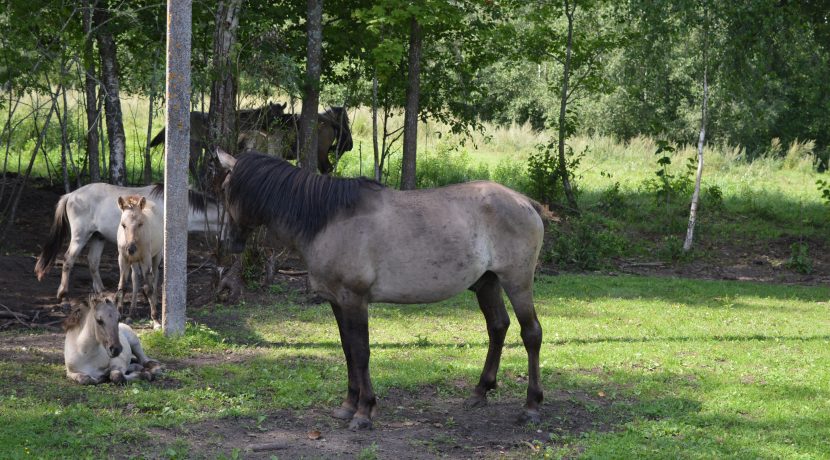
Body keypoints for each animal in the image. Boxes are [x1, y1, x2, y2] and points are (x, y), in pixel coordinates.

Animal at [116, 194, 163, 328]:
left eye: (140, 224)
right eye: (123, 225)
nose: (131, 249)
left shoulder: (146, 259)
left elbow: (148, 288)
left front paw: (155, 320)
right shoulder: (123, 259)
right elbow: (122, 286)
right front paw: (120, 315)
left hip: (156, 255)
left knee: (155, 275)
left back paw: (155, 302)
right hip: (134, 262)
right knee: (135, 280)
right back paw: (132, 313)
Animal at [218, 150, 548, 432]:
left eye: (224, 190)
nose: (228, 243)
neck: (329, 220)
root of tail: (524, 202)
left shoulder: (355, 300)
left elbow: (362, 351)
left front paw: (364, 412)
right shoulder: (337, 302)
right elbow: (348, 350)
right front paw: (348, 405)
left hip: (516, 282)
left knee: (531, 333)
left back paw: (531, 407)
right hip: (487, 282)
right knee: (498, 327)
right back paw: (480, 392)